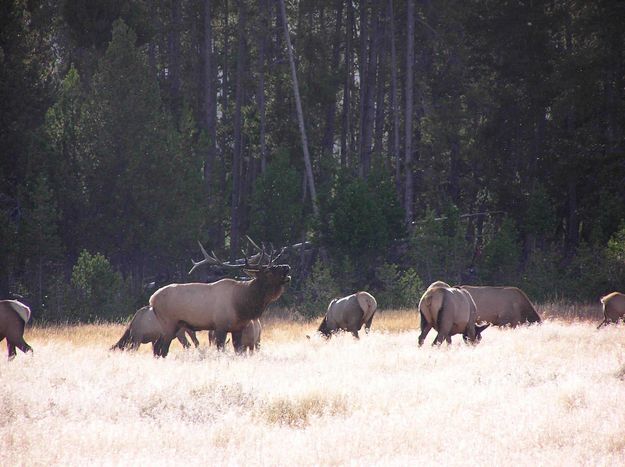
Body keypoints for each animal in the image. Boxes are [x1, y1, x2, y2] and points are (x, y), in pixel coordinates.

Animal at [151, 239, 290, 356]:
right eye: (268, 271)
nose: (287, 267)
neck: (242, 304)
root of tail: (152, 299)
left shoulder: (238, 328)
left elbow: (238, 351)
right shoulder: (220, 326)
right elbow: (221, 349)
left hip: (174, 326)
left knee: (157, 347)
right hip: (168, 323)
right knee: (162, 349)